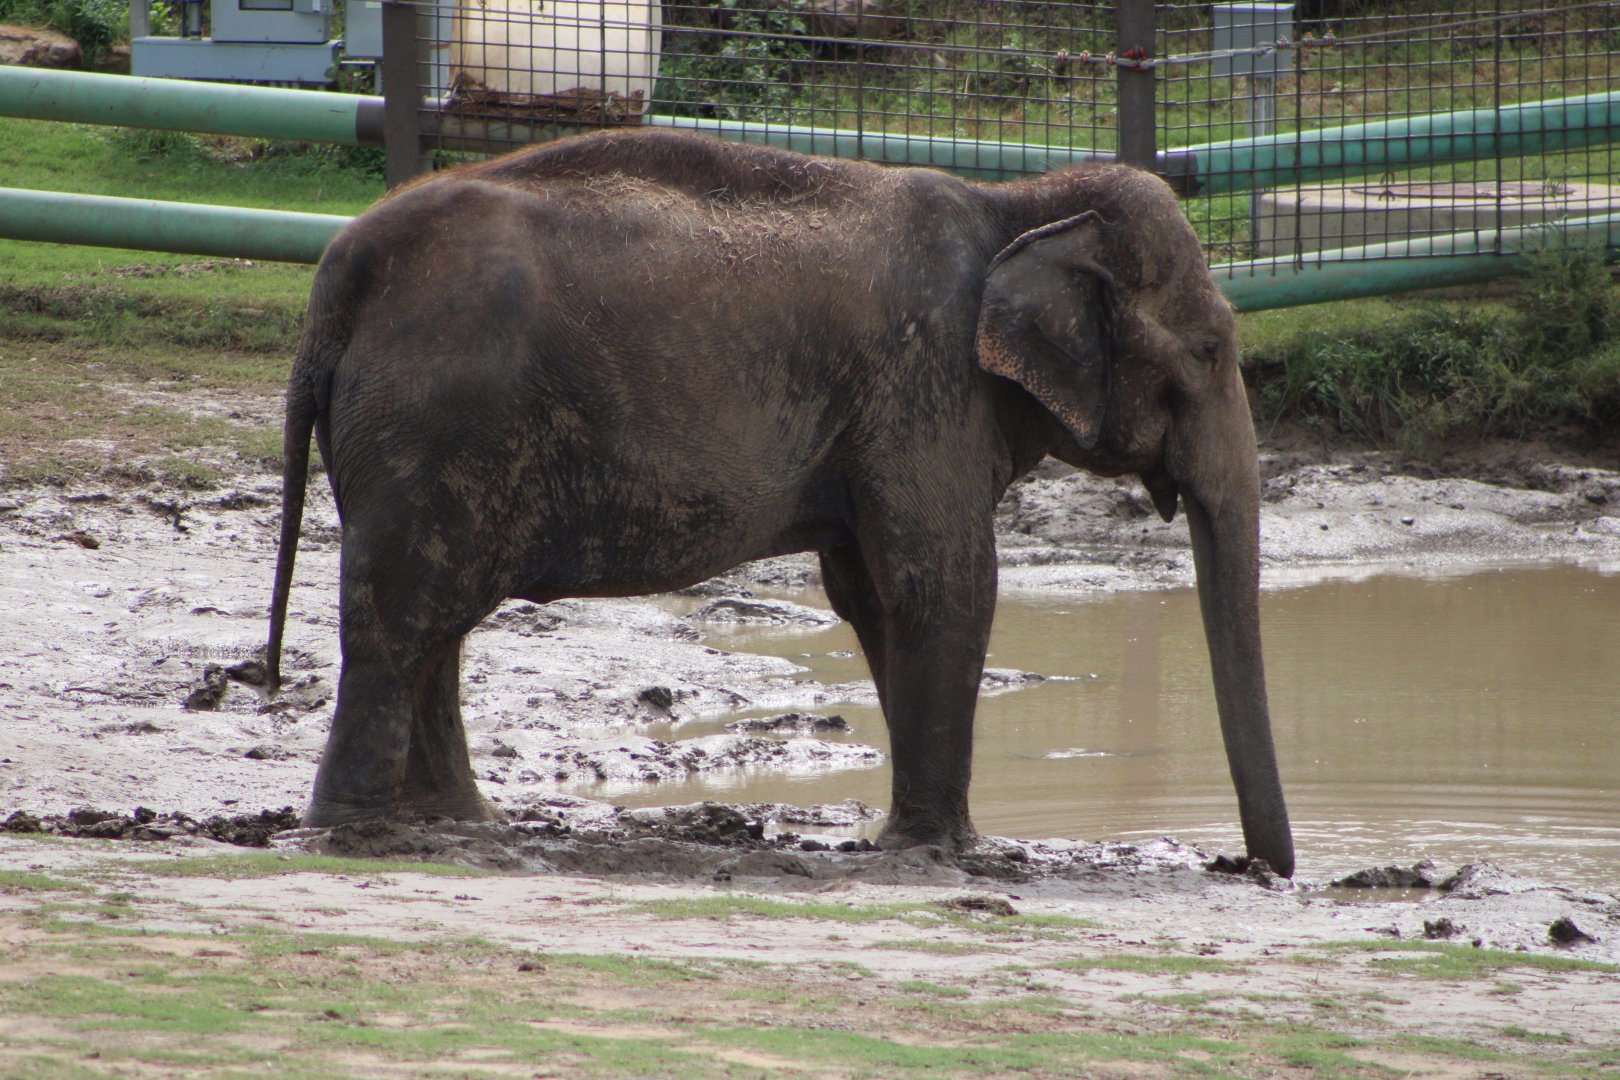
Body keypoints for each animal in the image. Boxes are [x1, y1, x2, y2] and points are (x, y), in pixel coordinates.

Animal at [264, 127, 1295, 877]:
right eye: (1211, 351)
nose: (1251, 868)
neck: (1024, 205)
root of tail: (335, 281)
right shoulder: (925, 387)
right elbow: (946, 582)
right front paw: (946, 853)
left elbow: (873, 593)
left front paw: (916, 840)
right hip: (433, 426)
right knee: (403, 614)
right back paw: (362, 834)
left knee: (433, 621)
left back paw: (464, 825)